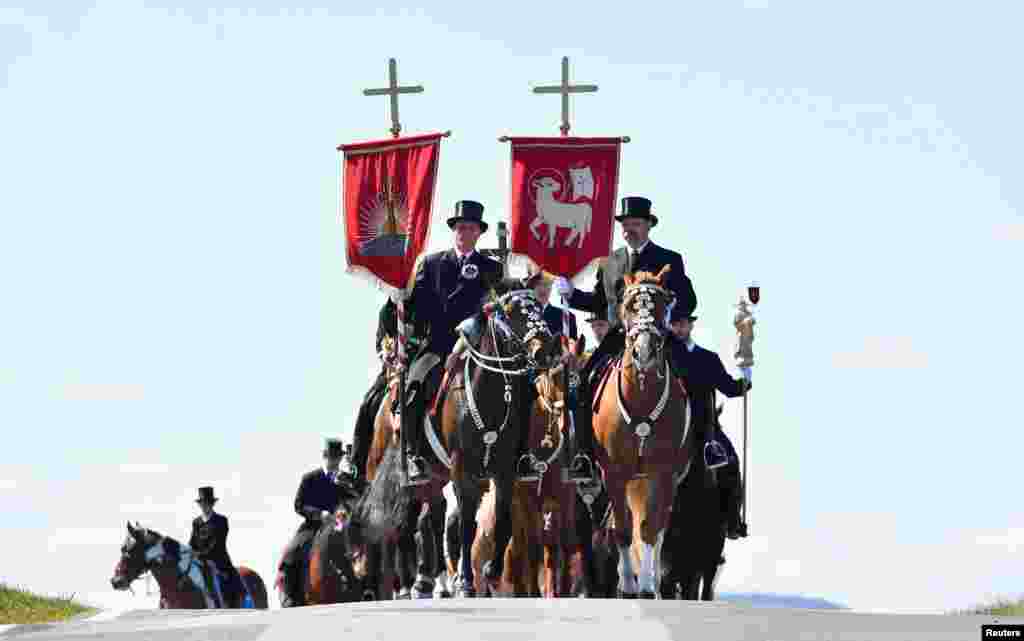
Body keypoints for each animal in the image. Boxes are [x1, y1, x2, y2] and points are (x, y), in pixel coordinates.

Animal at [593, 266, 696, 597]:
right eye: (628, 306)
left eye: (663, 304)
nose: (644, 352)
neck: (641, 393)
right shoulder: (613, 472)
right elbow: (624, 528)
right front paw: (627, 584)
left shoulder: (661, 474)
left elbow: (650, 530)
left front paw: (648, 586)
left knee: (658, 527)